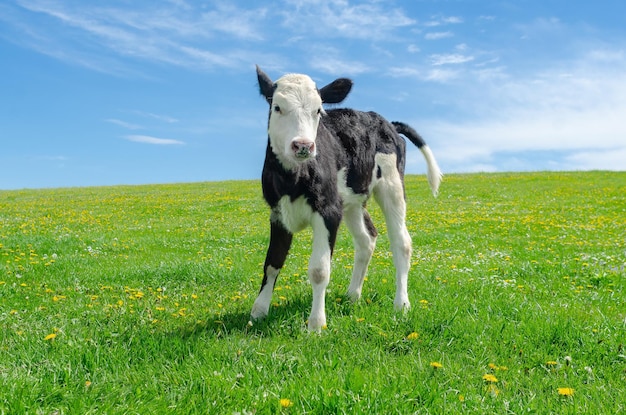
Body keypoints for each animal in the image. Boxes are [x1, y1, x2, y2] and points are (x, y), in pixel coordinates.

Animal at [250, 66, 444, 332]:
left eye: (318, 110)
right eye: (277, 107)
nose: (303, 145)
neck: (294, 180)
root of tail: (387, 122)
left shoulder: (328, 211)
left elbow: (319, 270)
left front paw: (316, 325)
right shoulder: (278, 213)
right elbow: (272, 262)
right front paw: (258, 311)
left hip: (392, 186)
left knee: (402, 243)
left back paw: (401, 304)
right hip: (352, 201)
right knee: (366, 239)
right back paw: (353, 295)